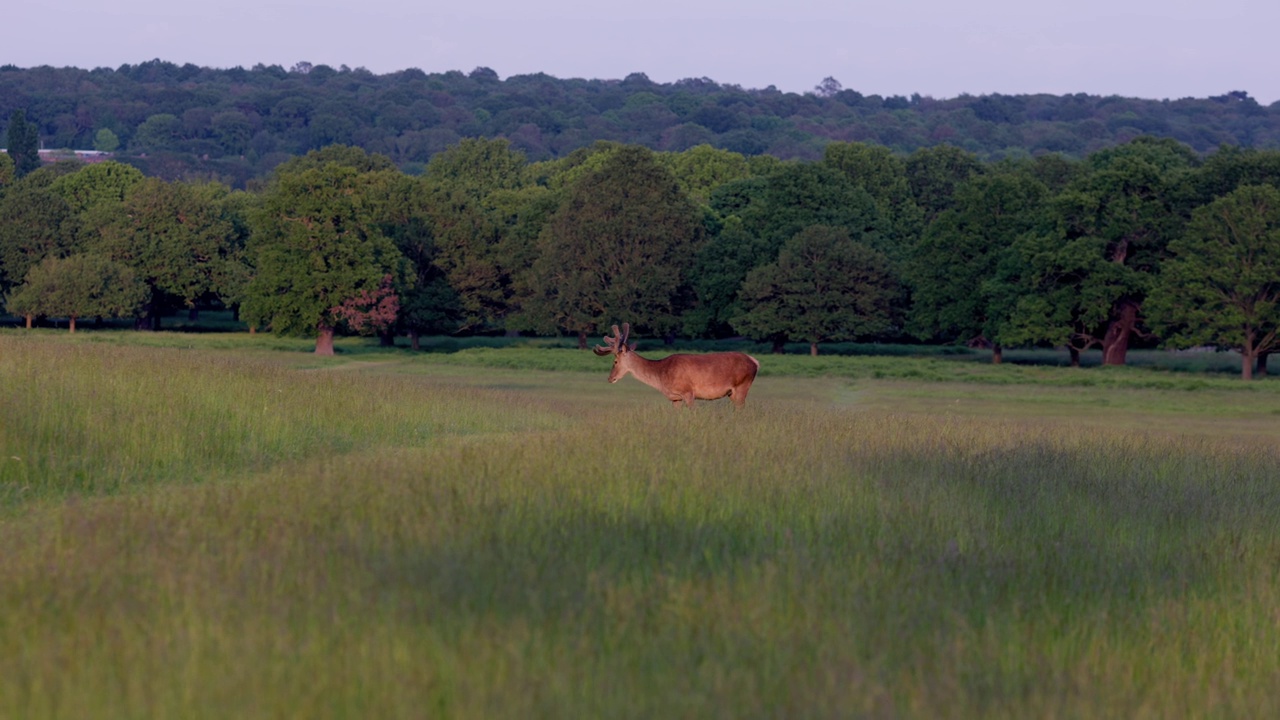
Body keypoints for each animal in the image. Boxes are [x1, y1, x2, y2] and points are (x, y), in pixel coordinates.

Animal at [591, 322, 757, 407]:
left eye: (615, 361)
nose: (610, 378)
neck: (661, 375)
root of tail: (755, 362)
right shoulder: (674, 398)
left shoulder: (688, 392)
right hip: (732, 393)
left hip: (742, 386)